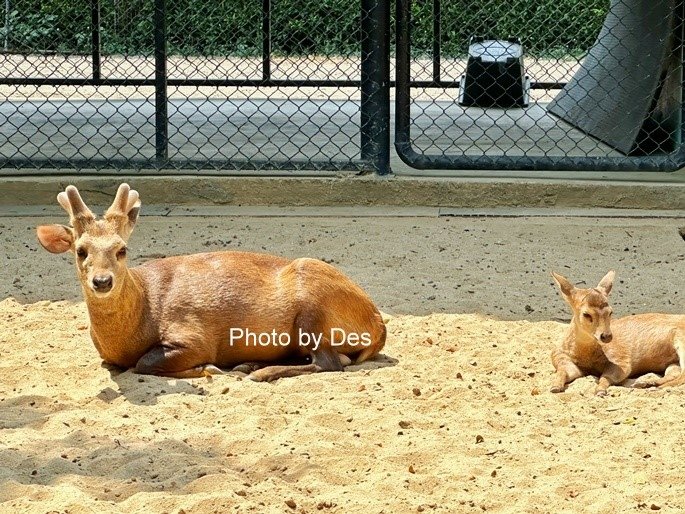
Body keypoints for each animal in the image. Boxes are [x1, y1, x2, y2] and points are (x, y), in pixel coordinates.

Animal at [36, 184, 384, 380]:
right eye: (80, 250)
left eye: (122, 249)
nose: (102, 281)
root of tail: (378, 325)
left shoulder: (194, 336)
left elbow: (145, 363)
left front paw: (207, 369)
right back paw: (249, 365)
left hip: (314, 307)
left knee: (330, 362)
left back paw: (259, 372)